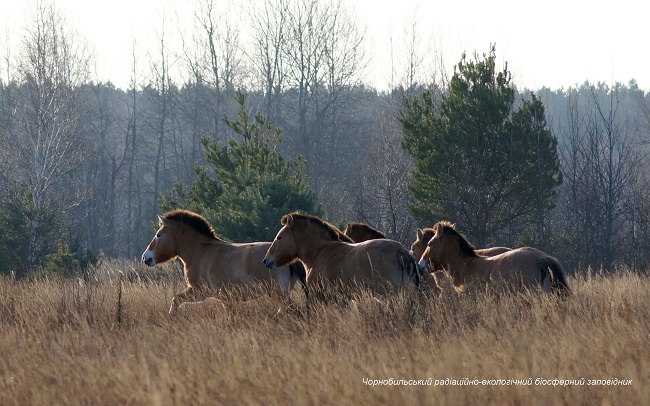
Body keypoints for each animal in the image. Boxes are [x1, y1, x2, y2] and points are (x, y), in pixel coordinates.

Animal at [140, 209, 306, 314]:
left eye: (158, 235)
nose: (145, 257)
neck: (200, 252)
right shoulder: (226, 299)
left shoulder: (198, 292)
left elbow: (175, 300)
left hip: (279, 294)